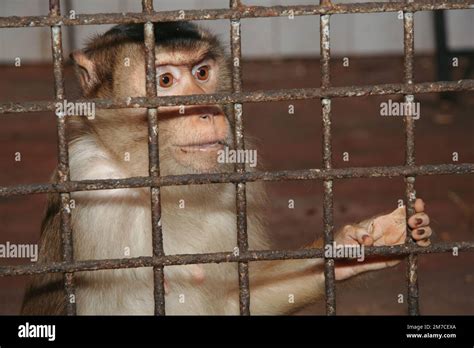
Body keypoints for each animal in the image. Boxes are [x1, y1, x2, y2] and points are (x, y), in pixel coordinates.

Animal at [20, 21, 432, 316]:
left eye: (202, 73)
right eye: (165, 80)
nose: (208, 110)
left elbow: (235, 298)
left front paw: (358, 245)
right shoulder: (89, 186)